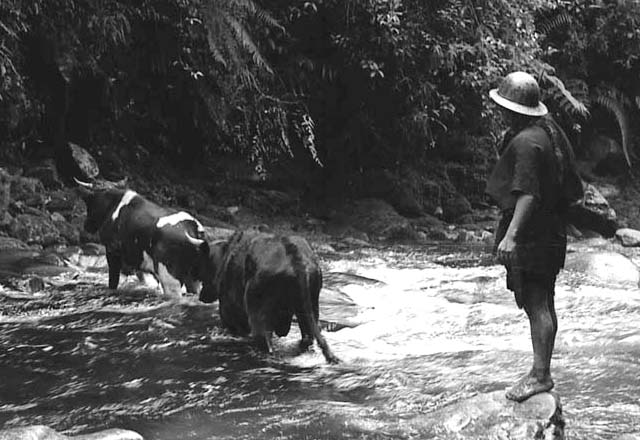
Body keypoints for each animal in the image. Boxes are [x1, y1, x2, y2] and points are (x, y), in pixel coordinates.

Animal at [79, 184, 210, 298]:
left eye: (88, 206)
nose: (85, 226)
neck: (112, 207)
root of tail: (191, 230)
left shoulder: (112, 251)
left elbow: (113, 281)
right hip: (193, 279)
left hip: (170, 280)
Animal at [199, 230, 340, 364]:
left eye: (201, 270)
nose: (201, 296)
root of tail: (296, 260)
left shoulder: (231, 312)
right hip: (310, 304)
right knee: (308, 336)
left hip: (257, 311)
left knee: (266, 345)